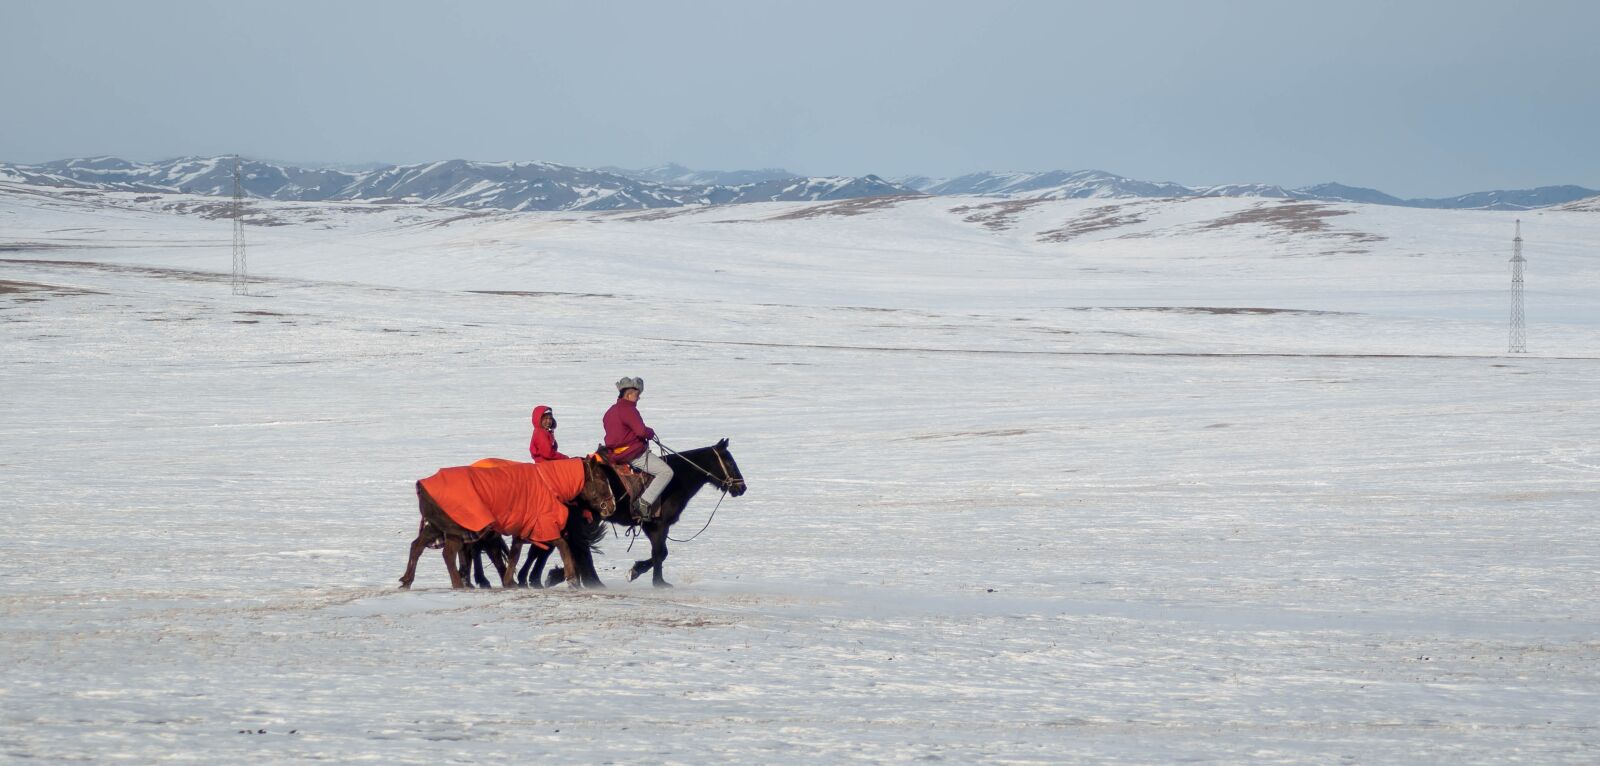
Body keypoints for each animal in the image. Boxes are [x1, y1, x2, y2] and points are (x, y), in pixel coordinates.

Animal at [398, 456, 620, 590]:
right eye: (602, 479)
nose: (611, 507)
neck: (550, 484)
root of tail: (423, 487)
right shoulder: (544, 525)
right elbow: (562, 546)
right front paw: (571, 577)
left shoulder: (525, 528)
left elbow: (515, 554)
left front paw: (510, 580)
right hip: (456, 529)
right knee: (449, 553)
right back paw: (459, 583)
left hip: (436, 527)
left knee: (417, 546)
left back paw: (407, 580)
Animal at [550, 439, 746, 588]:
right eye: (730, 462)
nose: (742, 487)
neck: (677, 479)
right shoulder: (658, 524)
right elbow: (660, 552)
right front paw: (654, 580)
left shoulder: (651, 525)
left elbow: (660, 553)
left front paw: (639, 571)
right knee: (580, 546)